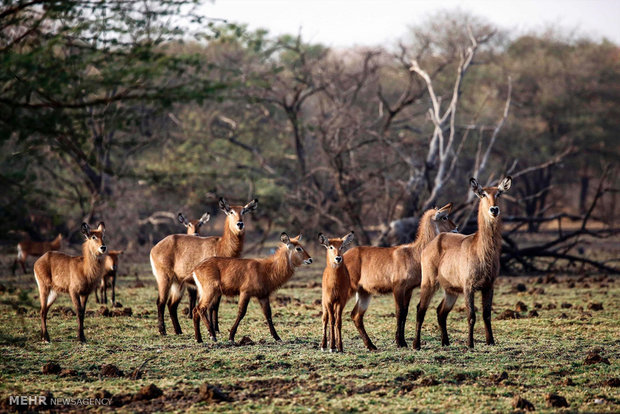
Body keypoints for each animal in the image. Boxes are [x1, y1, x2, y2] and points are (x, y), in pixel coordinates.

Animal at [149, 197, 258, 336]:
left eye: (244, 211)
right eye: (230, 211)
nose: (240, 224)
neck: (222, 246)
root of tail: (155, 247)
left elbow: (215, 306)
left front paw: (216, 329)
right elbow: (210, 306)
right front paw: (211, 329)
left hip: (178, 282)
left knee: (172, 304)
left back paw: (178, 331)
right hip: (164, 278)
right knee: (161, 302)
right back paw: (162, 331)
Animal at [344, 203, 456, 350]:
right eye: (444, 217)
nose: (456, 228)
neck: (415, 253)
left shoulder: (409, 289)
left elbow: (405, 312)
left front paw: (402, 341)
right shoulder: (398, 288)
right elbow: (399, 312)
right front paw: (400, 342)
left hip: (364, 292)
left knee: (356, 315)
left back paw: (371, 345)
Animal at [414, 175, 512, 350]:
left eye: (499, 193)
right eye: (483, 194)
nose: (494, 209)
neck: (481, 250)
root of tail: (432, 242)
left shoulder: (489, 285)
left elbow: (487, 315)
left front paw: (491, 342)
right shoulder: (469, 286)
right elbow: (471, 316)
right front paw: (470, 344)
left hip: (451, 290)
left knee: (440, 311)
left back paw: (445, 342)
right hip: (429, 282)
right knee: (421, 309)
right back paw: (416, 344)